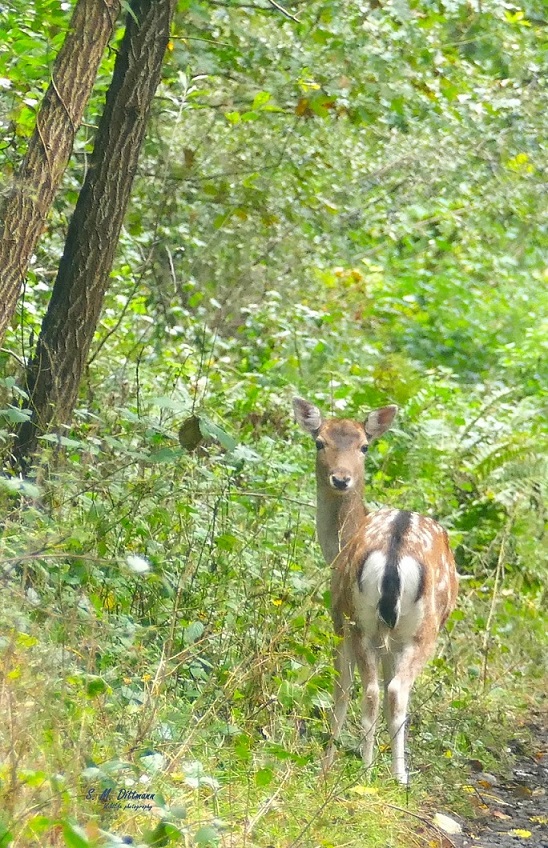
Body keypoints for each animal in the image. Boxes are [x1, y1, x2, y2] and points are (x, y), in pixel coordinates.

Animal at [294, 398, 456, 780]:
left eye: (364, 446)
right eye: (319, 442)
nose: (341, 478)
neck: (337, 548)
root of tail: (395, 551)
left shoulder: (339, 617)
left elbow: (341, 688)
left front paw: (329, 762)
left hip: (366, 623)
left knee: (373, 690)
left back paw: (376, 772)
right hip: (403, 628)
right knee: (387, 691)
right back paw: (387, 775)